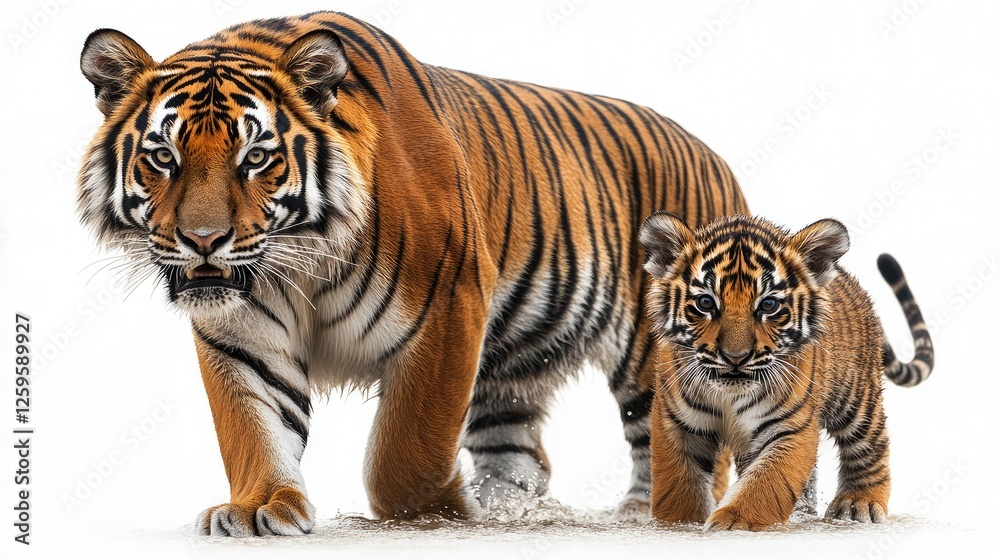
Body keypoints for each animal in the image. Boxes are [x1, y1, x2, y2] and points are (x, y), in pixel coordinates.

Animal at [76, 12, 748, 536]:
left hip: (662, 350)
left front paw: (442, 511)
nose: (203, 241)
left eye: (257, 158)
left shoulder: (447, 308)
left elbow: (404, 453)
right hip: (511, 373)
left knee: (682, 438)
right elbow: (252, 428)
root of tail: (715, 157)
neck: (299, 263)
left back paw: (651, 514)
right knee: (522, 456)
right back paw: (507, 507)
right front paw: (258, 507)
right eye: (164, 157)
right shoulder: (241, 334)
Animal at [638, 212, 934, 531]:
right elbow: (679, 487)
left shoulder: (791, 426)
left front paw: (733, 522)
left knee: (870, 445)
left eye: (768, 305)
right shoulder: (677, 423)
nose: (735, 357)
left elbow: (766, 482)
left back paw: (859, 504)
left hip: (855, 398)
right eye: (706, 303)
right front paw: (676, 524)